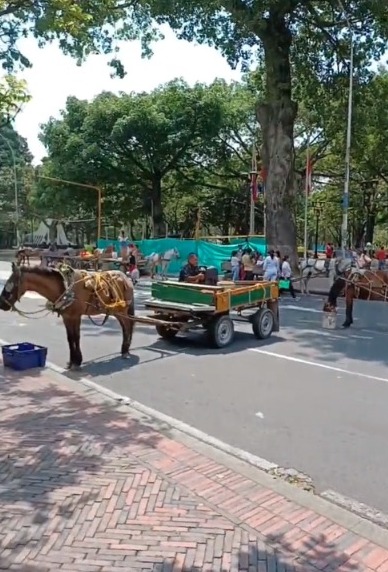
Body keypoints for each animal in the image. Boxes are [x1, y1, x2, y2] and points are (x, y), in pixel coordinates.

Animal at [0, 264, 135, 370]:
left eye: (11, 283)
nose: (2, 304)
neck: (65, 288)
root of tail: (126, 278)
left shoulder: (76, 316)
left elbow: (76, 337)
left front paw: (77, 361)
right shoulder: (67, 317)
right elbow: (70, 338)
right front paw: (72, 361)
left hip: (123, 310)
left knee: (127, 327)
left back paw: (125, 351)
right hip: (116, 311)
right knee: (125, 327)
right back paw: (125, 349)